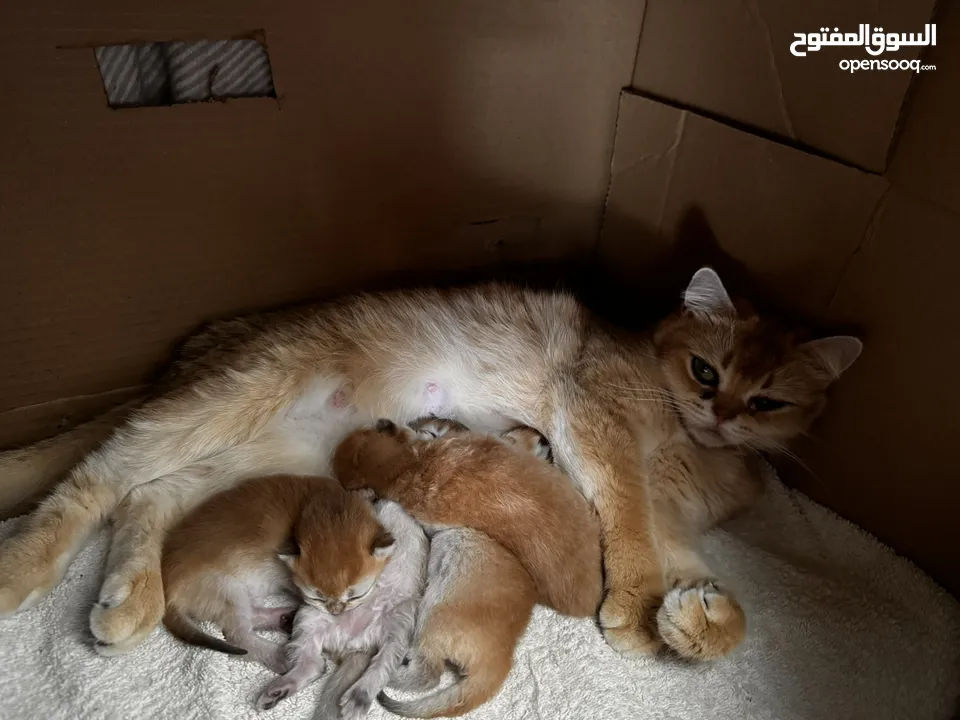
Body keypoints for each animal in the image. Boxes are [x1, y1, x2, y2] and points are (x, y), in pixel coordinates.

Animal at [0, 268, 860, 664]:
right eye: (705, 371)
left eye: (769, 401)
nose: (724, 414)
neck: (688, 443)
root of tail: (202, 349)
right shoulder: (598, 419)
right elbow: (626, 519)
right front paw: (637, 608)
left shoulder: (677, 520)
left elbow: (683, 565)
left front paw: (696, 619)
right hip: (235, 397)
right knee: (102, 476)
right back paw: (23, 570)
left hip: (270, 450)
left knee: (150, 492)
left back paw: (128, 598)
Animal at [255, 498, 428, 720]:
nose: (336, 609)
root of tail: (352, 644)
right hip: (309, 617)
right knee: (315, 665)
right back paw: (276, 692)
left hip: (400, 625)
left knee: (381, 666)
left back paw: (358, 697)